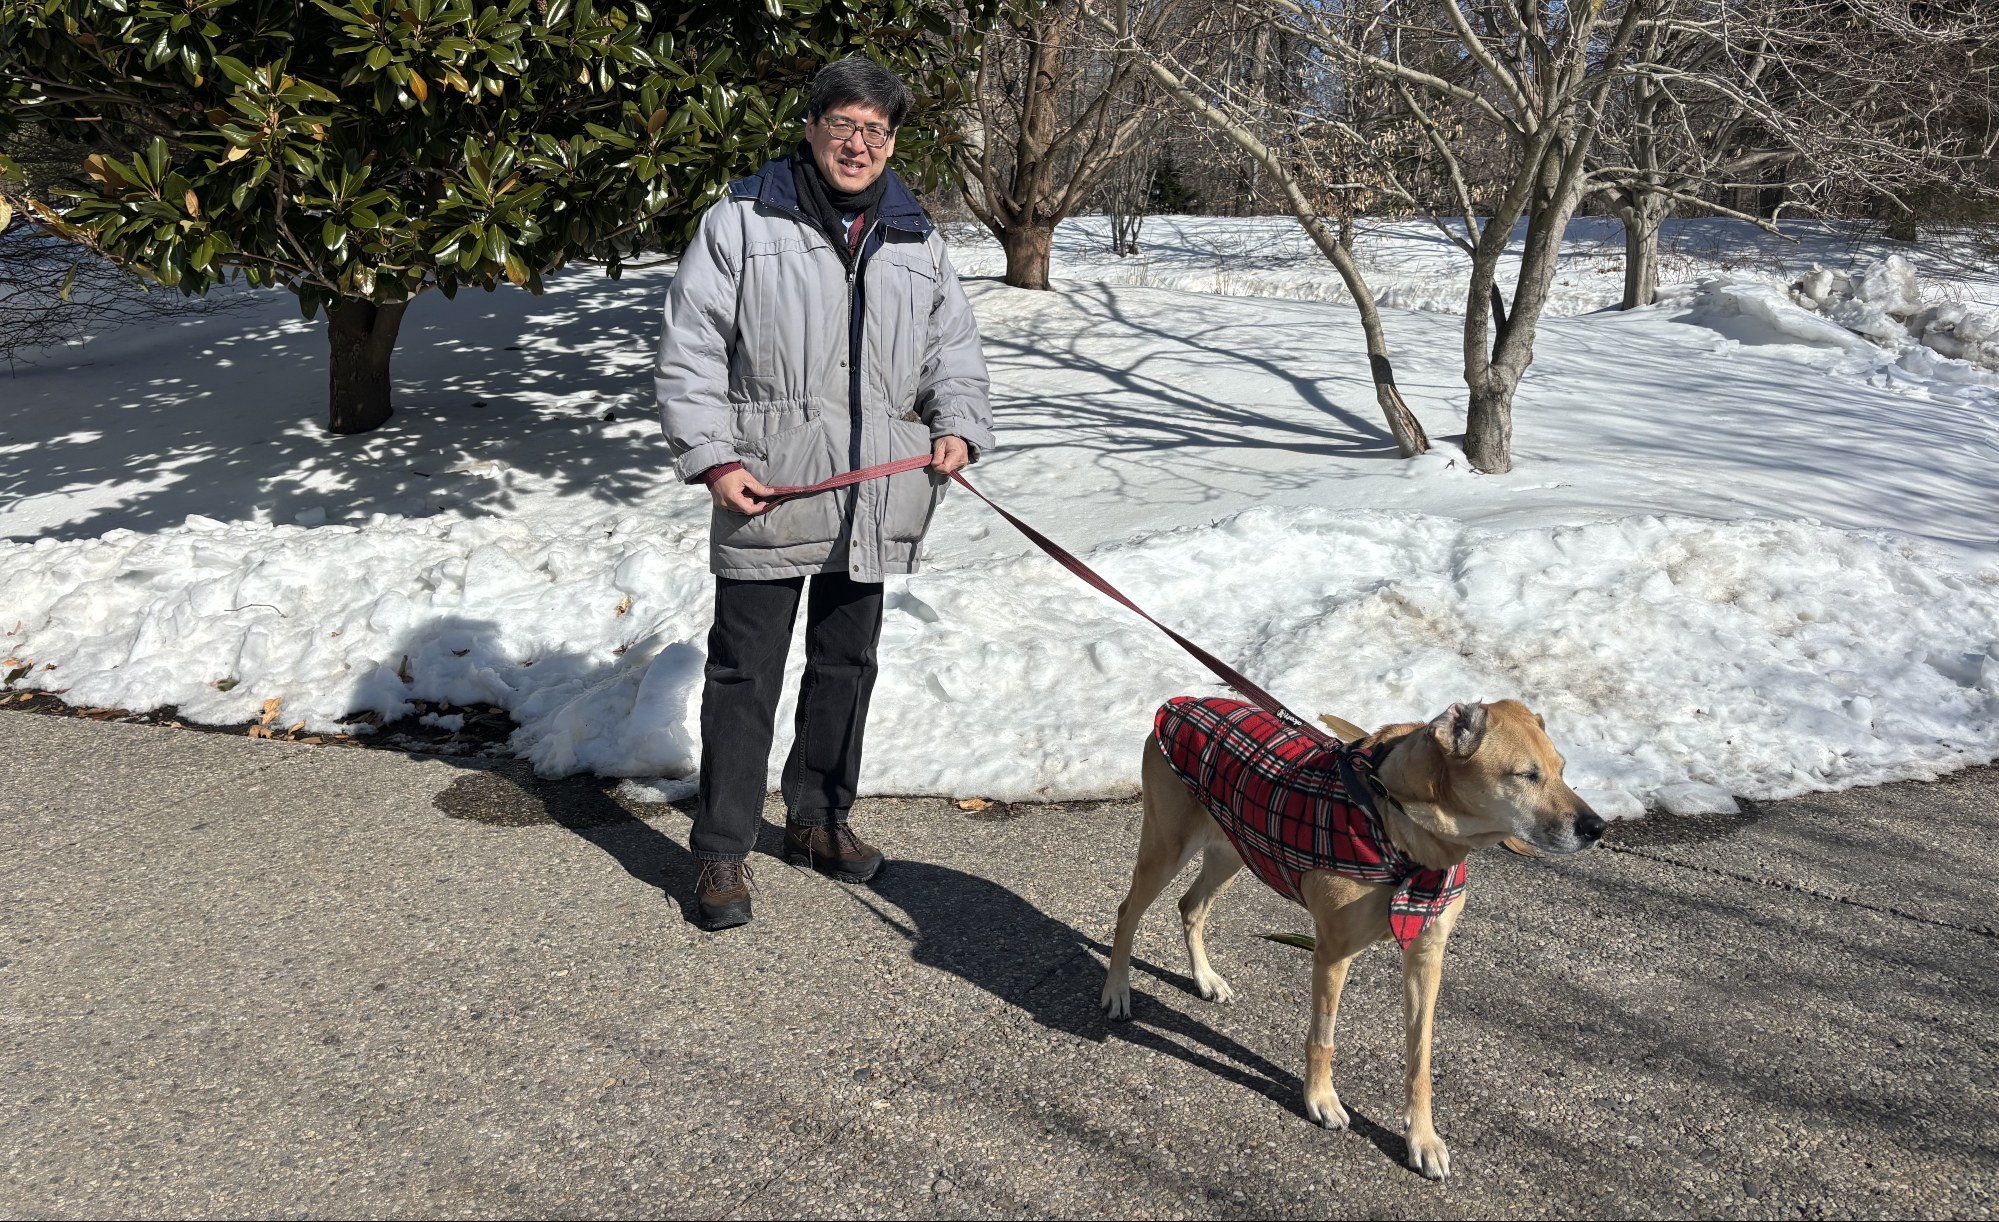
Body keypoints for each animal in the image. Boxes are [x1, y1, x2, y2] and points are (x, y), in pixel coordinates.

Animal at [1100, 697, 1605, 1179]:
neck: (1404, 832)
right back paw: (1117, 991)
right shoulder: (1332, 954)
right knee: (1127, 913)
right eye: (1526, 775)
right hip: (1167, 848)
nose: (1596, 828)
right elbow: (1323, 1040)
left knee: (1191, 907)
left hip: (1232, 850)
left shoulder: (1426, 957)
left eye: (1562, 769)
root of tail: (1177, 703)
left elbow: (1420, 1060)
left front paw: (1422, 1139)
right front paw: (1320, 1099)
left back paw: (1205, 979)